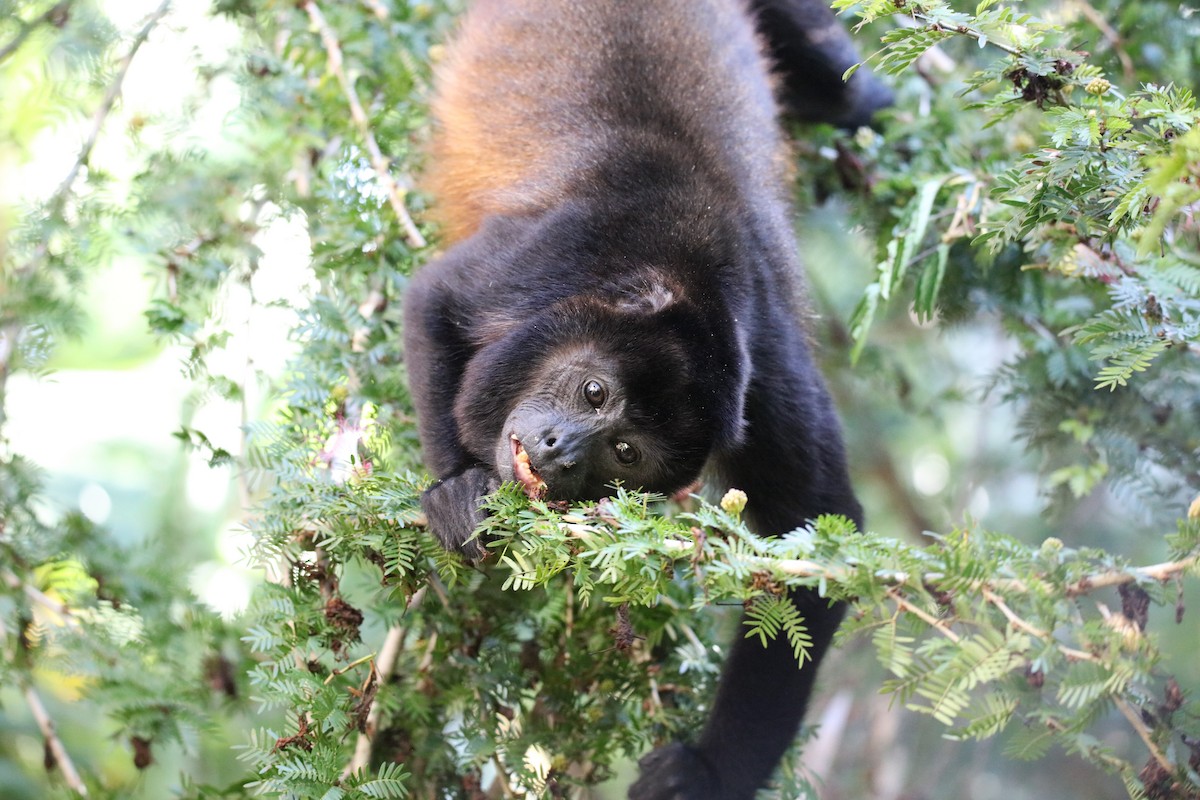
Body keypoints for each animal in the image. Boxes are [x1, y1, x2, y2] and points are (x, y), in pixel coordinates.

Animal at [402, 1, 882, 797]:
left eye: (625, 453)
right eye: (595, 392)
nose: (562, 451)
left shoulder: (763, 374)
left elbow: (818, 535)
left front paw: (707, 772)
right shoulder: (560, 250)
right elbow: (435, 299)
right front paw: (456, 489)